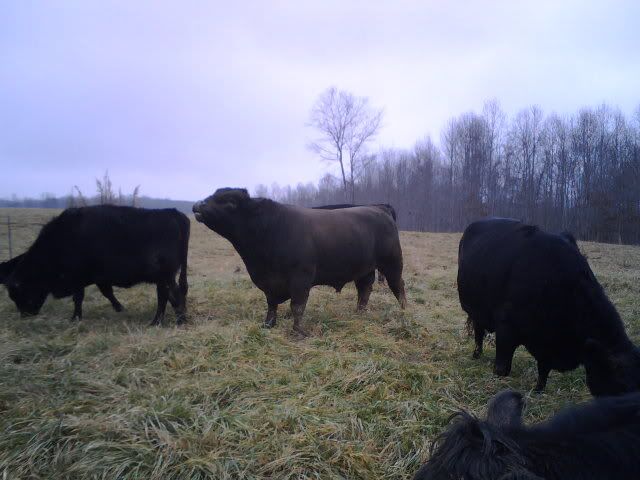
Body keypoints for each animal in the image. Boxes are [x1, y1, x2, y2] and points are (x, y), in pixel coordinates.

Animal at [2, 205, 190, 325]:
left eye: (18, 293)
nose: (25, 316)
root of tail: (172, 212)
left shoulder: (77, 278)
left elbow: (79, 298)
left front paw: (75, 318)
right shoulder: (100, 278)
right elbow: (107, 293)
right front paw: (119, 308)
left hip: (165, 275)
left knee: (171, 293)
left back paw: (172, 320)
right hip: (162, 277)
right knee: (166, 294)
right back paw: (164, 319)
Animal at [192, 188, 406, 336]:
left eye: (228, 202)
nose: (197, 205)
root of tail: (378, 207)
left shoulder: (300, 278)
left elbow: (297, 306)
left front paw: (298, 332)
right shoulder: (269, 283)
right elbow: (271, 305)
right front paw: (268, 325)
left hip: (392, 263)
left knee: (398, 286)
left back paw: (404, 311)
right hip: (365, 269)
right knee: (364, 290)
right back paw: (359, 313)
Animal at [458, 217, 640, 395]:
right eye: (622, 384)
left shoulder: (546, 341)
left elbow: (544, 368)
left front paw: (538, 389)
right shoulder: (506, 328)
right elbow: (502, 368)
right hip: (475, 311)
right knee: (479, 333)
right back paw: (477, 354)